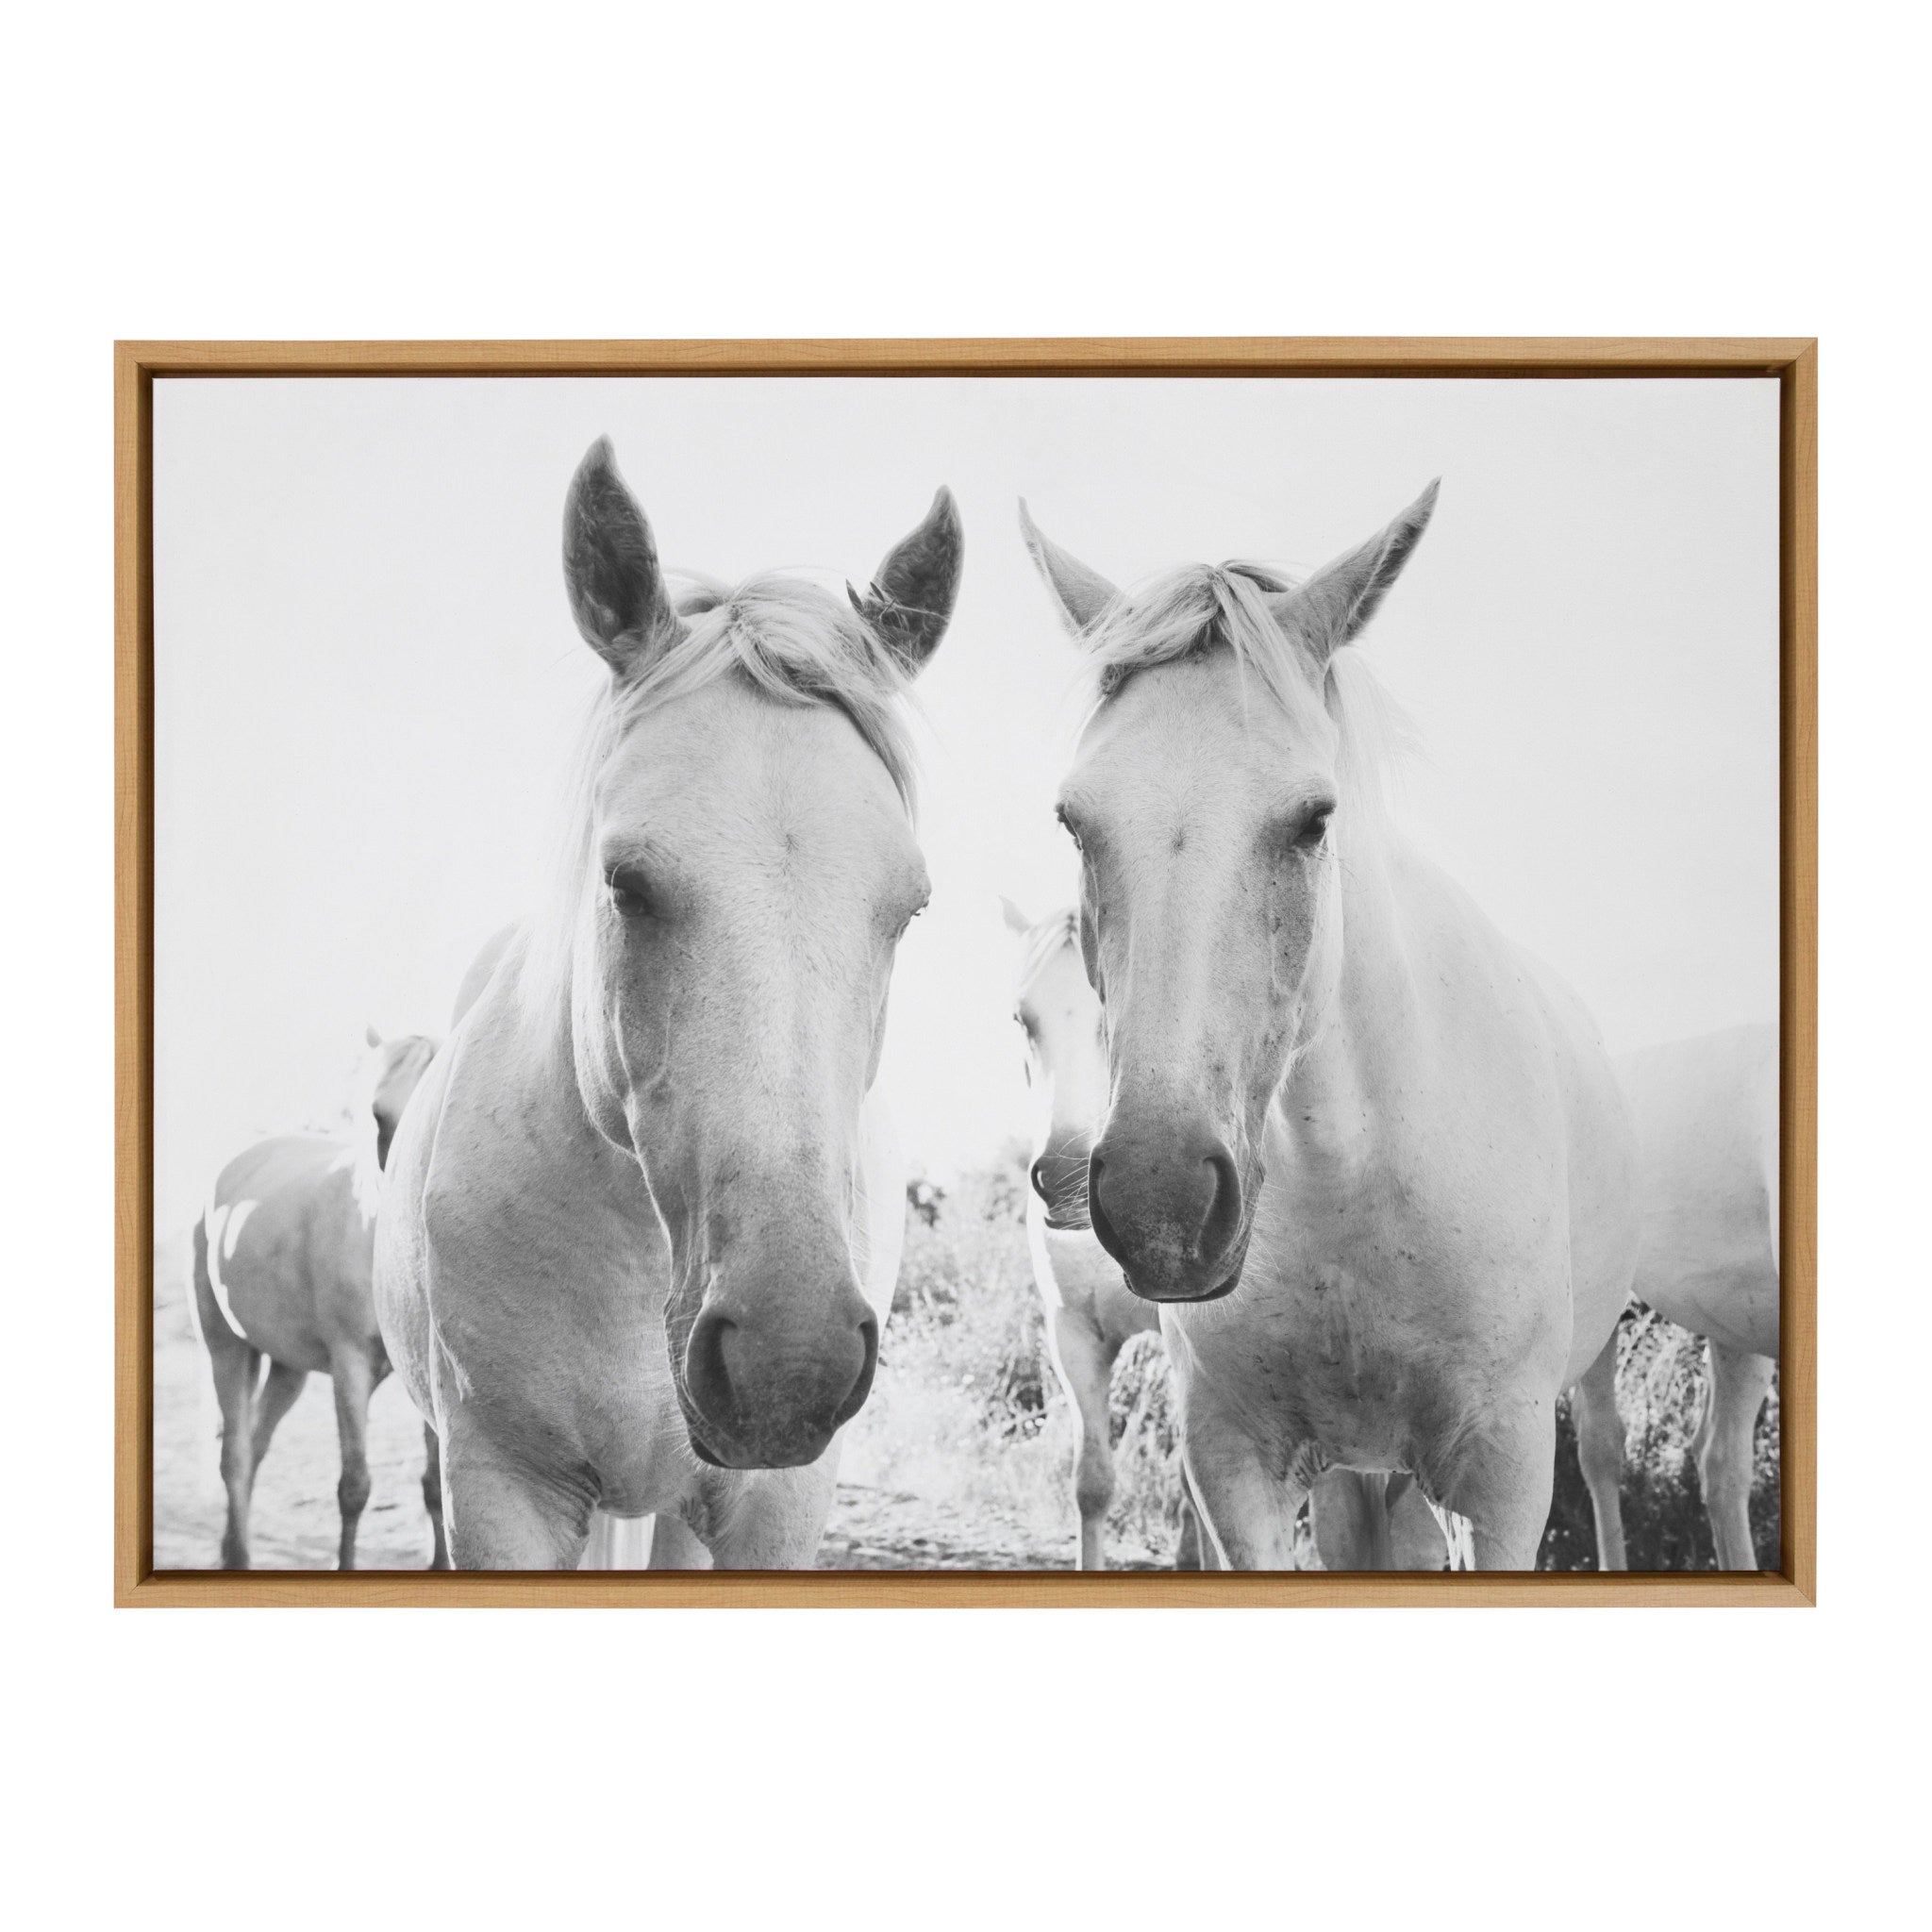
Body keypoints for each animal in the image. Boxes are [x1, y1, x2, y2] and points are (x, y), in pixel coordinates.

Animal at [189, 1028, 439, 1568]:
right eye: (376, 1114)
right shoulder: (350, 1365)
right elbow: (354, 1487)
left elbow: (436, 1485)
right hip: (227, 1349)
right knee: (235, 1456)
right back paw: (238, 1556)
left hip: (289, 1368)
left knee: (257, 1443)